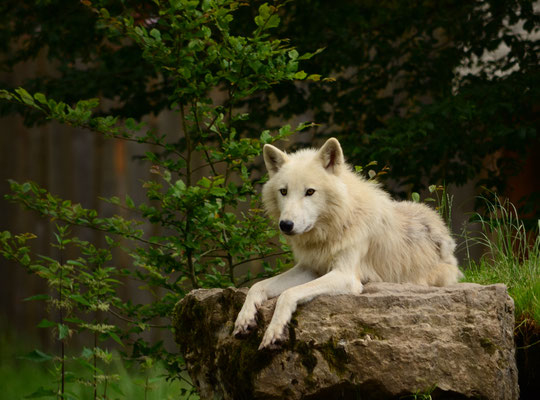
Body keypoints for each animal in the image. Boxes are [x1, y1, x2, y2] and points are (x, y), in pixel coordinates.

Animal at [234, 138, 462, 350]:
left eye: (310, 192)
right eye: (283, 191)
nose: (286, 225)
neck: (337, 225)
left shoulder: (345, 276)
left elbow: (287, 294)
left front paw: (274, 331)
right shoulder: (310, 268)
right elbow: (257, 286)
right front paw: (244, 318)